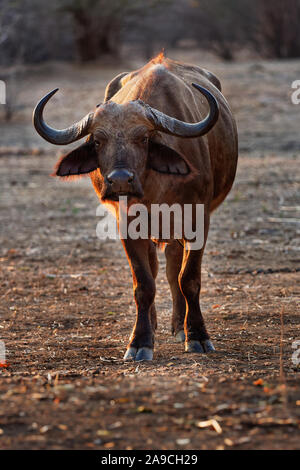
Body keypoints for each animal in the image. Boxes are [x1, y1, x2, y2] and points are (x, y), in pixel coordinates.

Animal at [32, 54, 238, 360]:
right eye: (98, 140)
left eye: (143, 138)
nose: (119, 180)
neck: (154, 189)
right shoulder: (128, 226)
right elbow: (144, 283)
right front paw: (140, 341)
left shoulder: (198, 220)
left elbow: (188, 279)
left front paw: (197, 336)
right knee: (157, 269)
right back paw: (154, 324)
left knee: (173, 269)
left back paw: (179, 326)